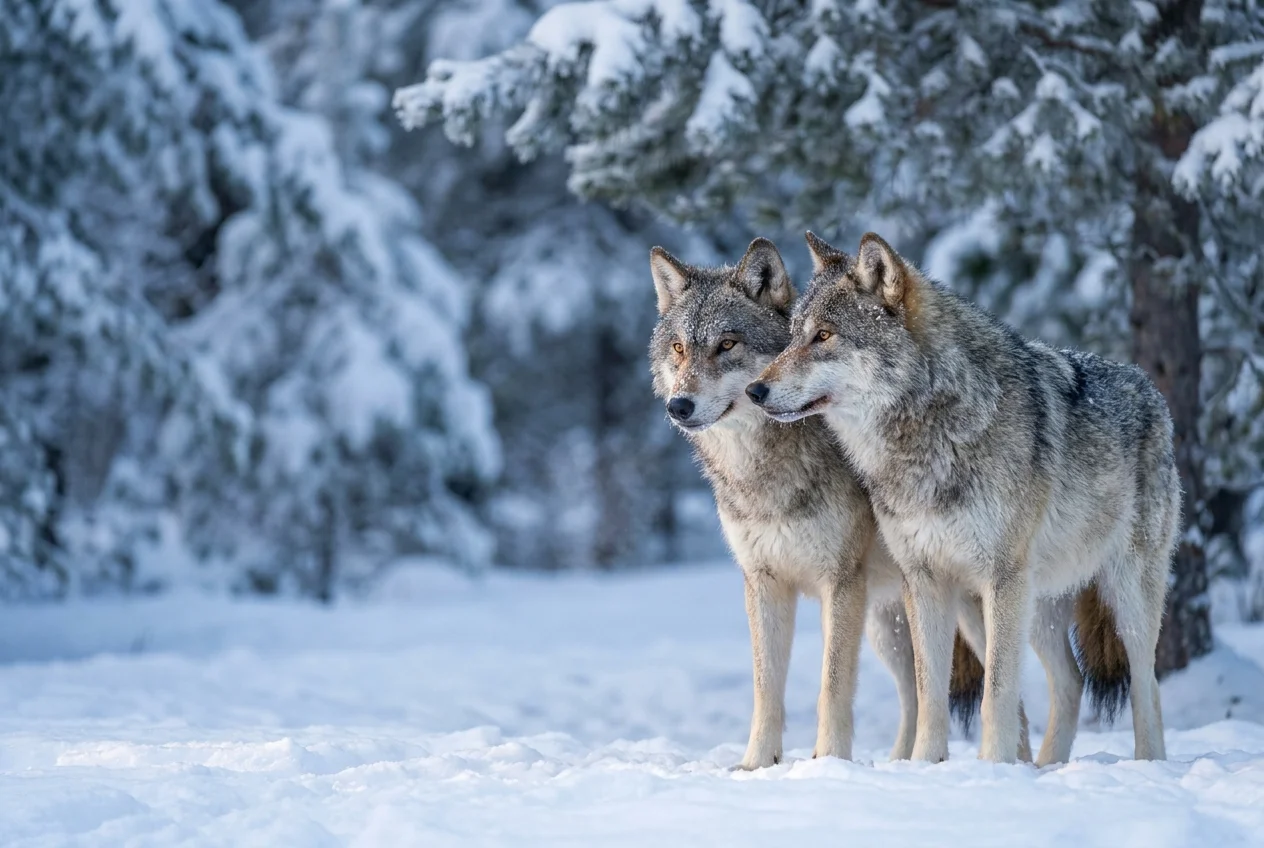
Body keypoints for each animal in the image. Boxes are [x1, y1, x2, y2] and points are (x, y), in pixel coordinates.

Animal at [649, 238, 1030, 768]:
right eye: (679, 349)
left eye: (727, 345)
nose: (678, 406)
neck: (765, 471)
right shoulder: (763, 582)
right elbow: (766, 690)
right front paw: (755, 766)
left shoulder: (841, 583)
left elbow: (830, 687)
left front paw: (827, 763)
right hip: (890, 626)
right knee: (916, 696)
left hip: (967, 609)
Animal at [746, 231, 1180, 764]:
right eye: (792, 336)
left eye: (824, 336)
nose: (754, 390)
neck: (928, 435)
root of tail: (1150, 388)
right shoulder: (924, 579)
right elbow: (931, 692)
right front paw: (925, 764)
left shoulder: (1001, 578)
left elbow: (997, 690)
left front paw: (991, 768)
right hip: (1028, 608)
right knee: (1072, 682)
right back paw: (1044, 769)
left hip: (1122, 596)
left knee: (1146, 683)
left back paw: (1147, 764)